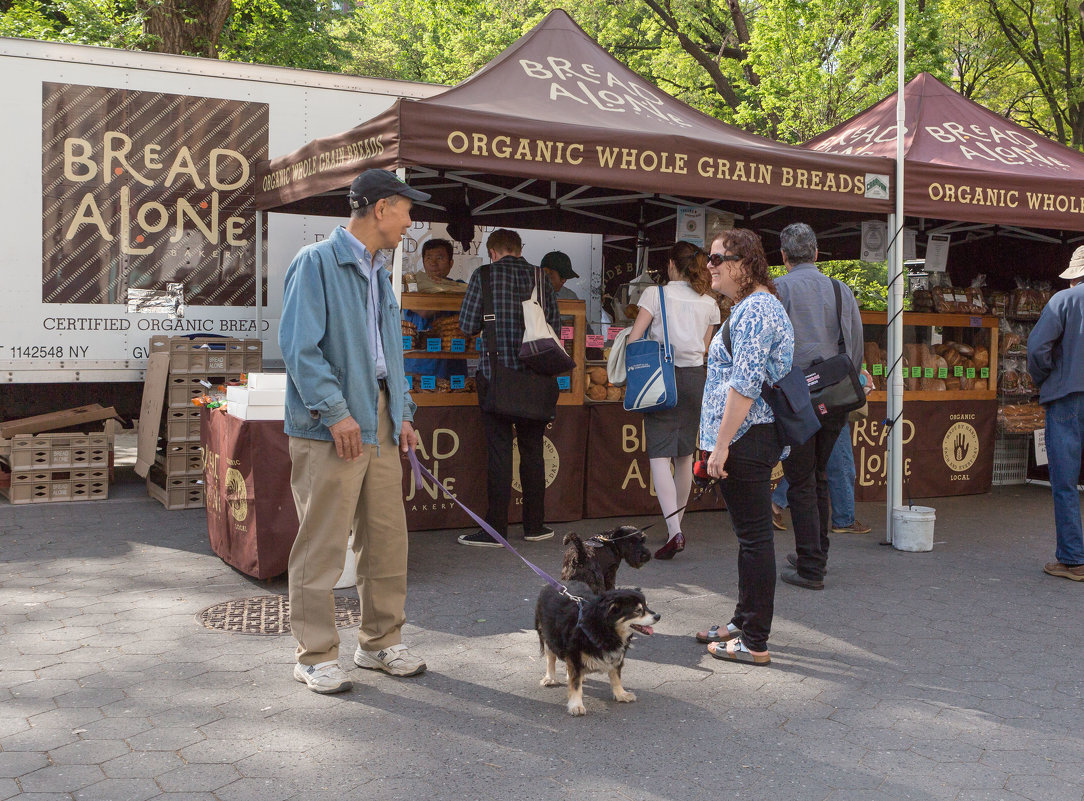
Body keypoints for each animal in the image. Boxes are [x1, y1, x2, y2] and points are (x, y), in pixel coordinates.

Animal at [533, 580, 659, 715]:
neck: (603, 629)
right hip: (547, 636)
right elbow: (575, 684)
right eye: (638, 610)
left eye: (647, 606)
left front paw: (621, 694)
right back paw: (550, 678)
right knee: (551, 658)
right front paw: (576, 705)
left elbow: (616, 676)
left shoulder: (616, 654)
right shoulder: (575, 655)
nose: (658, 616)